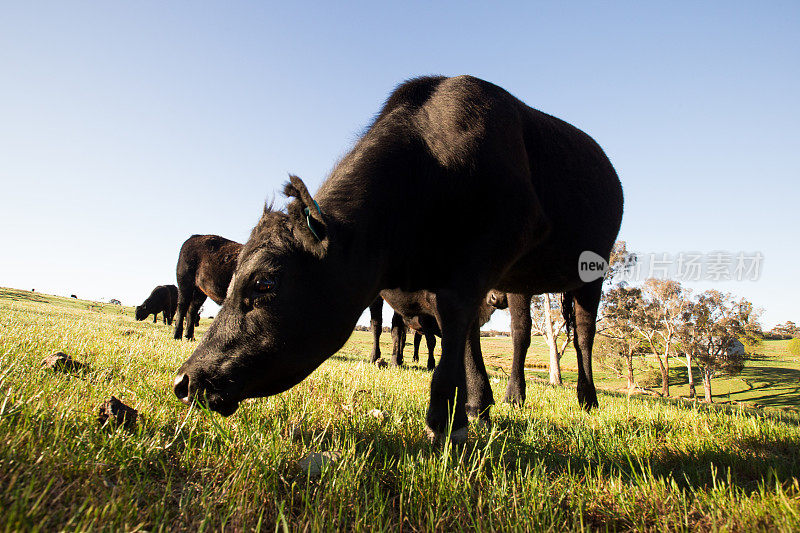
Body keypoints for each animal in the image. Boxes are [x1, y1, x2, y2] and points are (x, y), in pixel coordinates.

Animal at [175, 75, 624, 440]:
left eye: (265, 282)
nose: (184, 380)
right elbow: (462, 337)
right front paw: (474, 407)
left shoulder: (486, 257)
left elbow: (456, 335)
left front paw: (444, 422)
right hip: (521, 282)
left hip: (592, 272)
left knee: (579, 334)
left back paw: (584, 397)